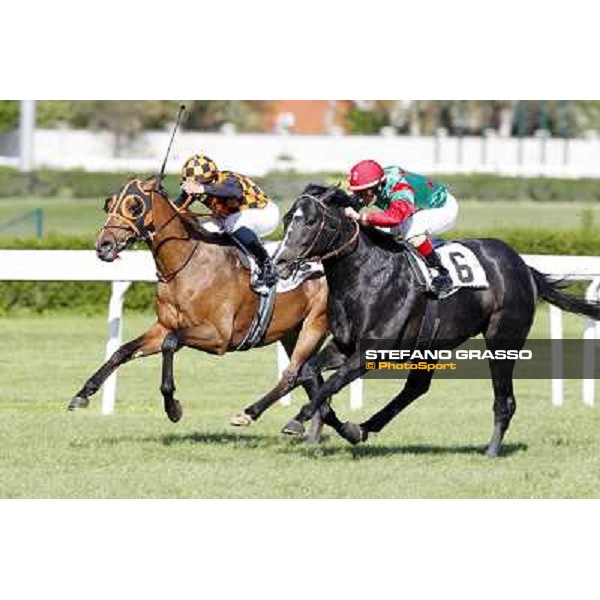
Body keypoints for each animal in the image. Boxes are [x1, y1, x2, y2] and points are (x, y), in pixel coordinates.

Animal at [66, 176, 344, 438]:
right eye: (109, 203)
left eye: (134, 205)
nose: (103, 245)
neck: (187, 265)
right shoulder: (164, 326)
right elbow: (122, 351)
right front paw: (83, 393)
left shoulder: (218, 336)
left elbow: (170, 344)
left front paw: (173, 407)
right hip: (290, 332)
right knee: (311, 378)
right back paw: (332, 427)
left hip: (314, 324)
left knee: (293, 374)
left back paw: (254, 415)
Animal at [274, 185, 600, 458]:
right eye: (288, 218)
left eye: (311, 221)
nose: (279, 263)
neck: (365, 274)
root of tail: (521, 265)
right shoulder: (344, 346)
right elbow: (309, 372)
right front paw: (329, 421)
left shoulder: (371, 353)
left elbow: (332, 383)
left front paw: (299, 419)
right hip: (429, 346)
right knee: (416, 389)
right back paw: (363, 427)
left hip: (503, 339)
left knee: (504, 399)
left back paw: (492, 451)